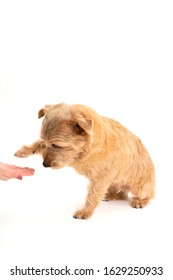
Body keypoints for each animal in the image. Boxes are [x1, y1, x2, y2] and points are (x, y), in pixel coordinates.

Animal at [14, 103, 155, 219]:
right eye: (45, 141)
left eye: (57, 145)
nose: (45, 164)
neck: (82, 151)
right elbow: (38, 145)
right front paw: (23, 151)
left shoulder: (101, 178)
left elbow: (93, 195)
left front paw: (85, 211)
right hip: (114, 182)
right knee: (123, 194)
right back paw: (112, 195)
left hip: (138, 187)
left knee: (148, 195)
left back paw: (140, 201)